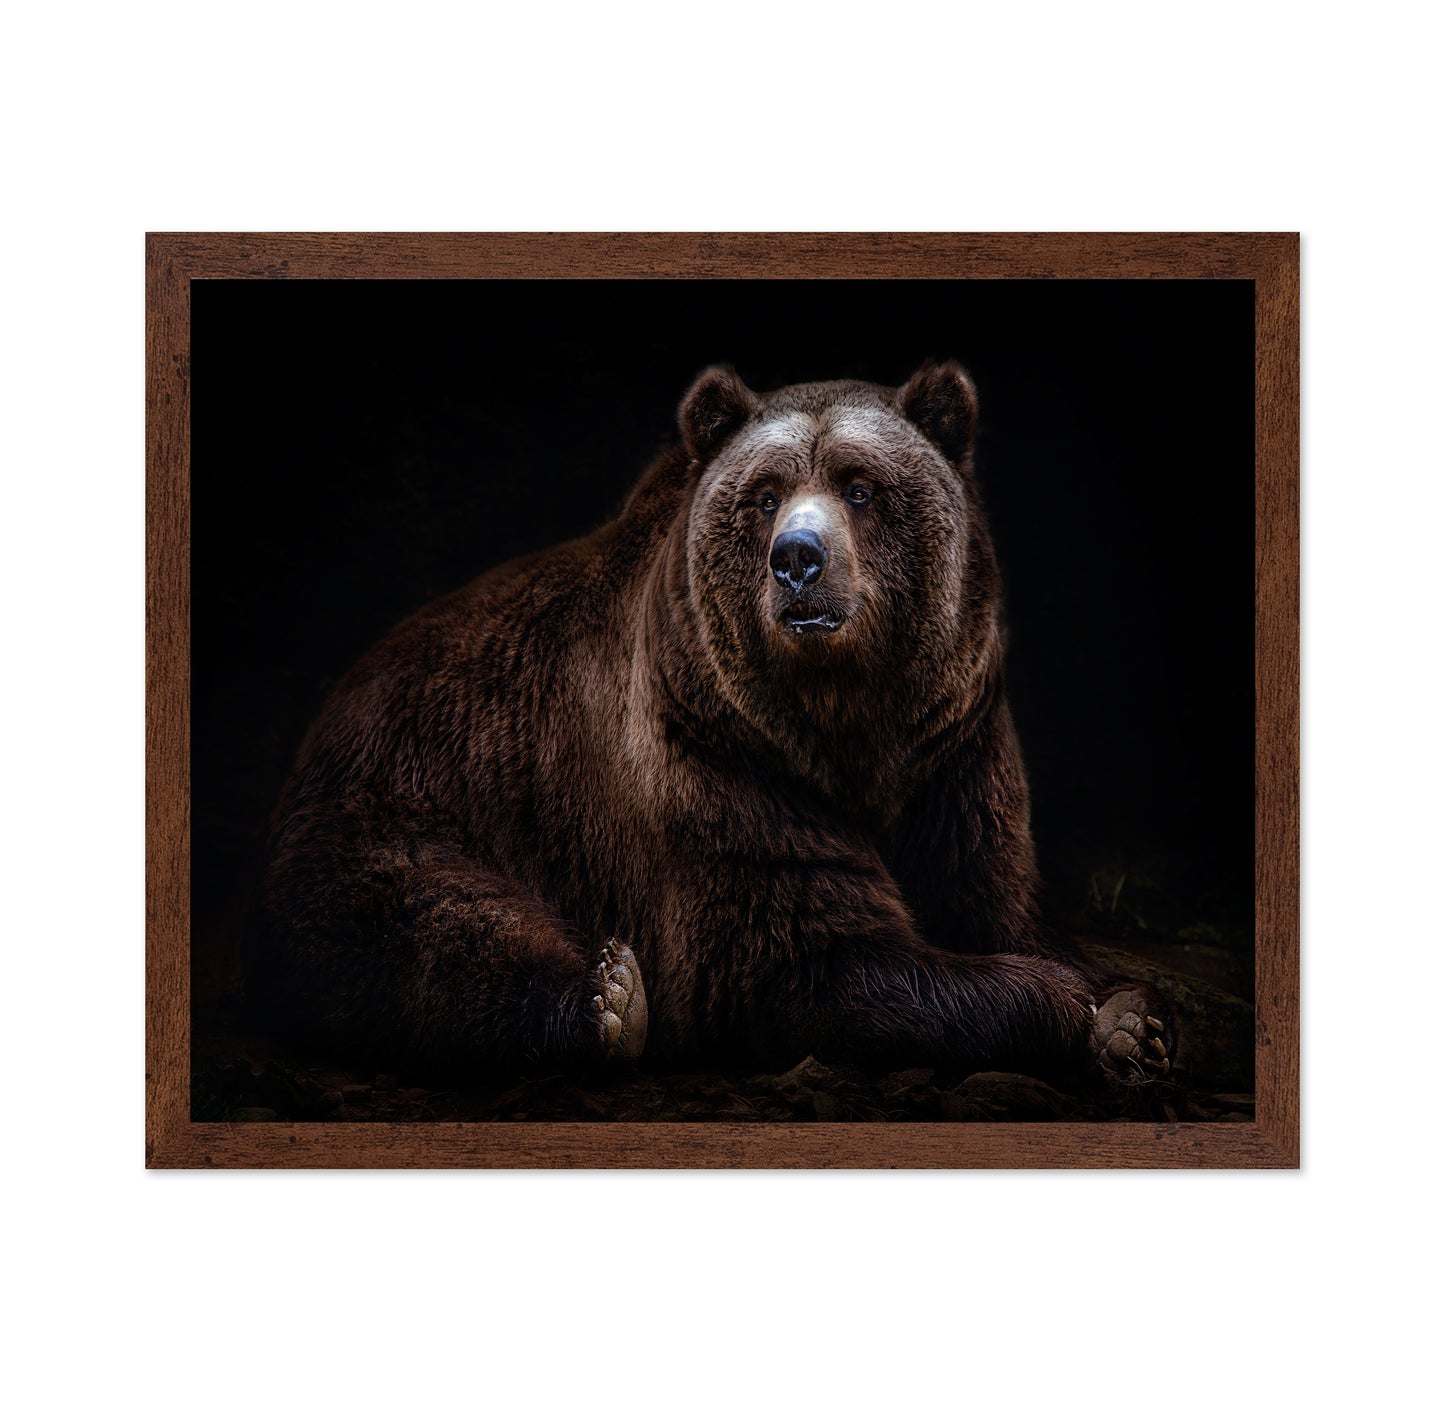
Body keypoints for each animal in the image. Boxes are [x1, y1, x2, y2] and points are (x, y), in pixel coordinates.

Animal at [254, 361, 1176, 1087]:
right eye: (765, 495)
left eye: (860, 486)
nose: (798, 559)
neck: (843, 724)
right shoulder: (713, 755)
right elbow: (805, 960)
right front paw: (1089, 1014)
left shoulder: (952, 748)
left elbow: (993, 897)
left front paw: (1130, 1015)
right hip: (397, 807)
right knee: (428, 928)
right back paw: (603, 1000)